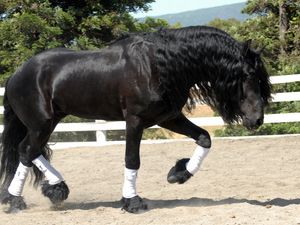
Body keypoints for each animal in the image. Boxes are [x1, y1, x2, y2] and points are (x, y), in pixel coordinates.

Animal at [0, 25, 272, 213]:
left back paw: (54, 189)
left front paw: (179, 173)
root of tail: (17, 74)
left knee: (30, 151)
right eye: (248, 74)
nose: (257, 119)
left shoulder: (168, 117)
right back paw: (17, 200)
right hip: (41, 123)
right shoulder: (135, 120)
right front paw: (132, 202)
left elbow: (205, 138)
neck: (157, 66)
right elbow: (132, 160)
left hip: (49, 121)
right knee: (27, 151)